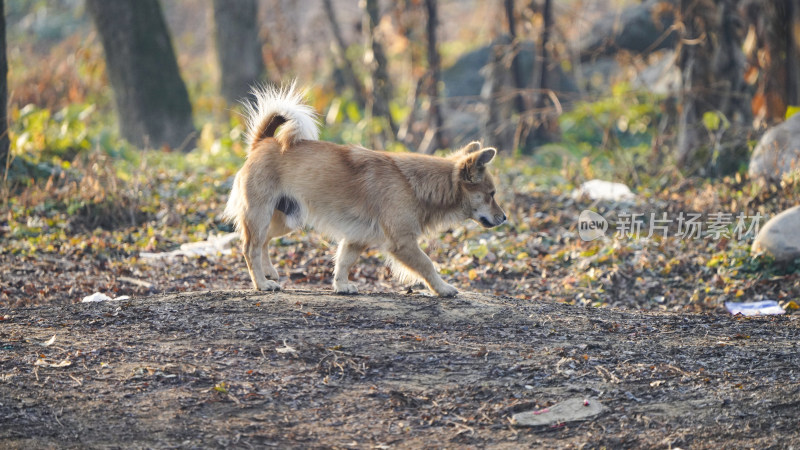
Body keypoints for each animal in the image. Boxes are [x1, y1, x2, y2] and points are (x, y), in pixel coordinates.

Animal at [222, 84, 504, 296]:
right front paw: (443, 288)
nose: (504, 218)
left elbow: (343, 262)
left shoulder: (356, 239)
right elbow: (427, 265)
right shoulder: (403, 242)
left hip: (286, 220)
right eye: (491, 194)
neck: (417, 183)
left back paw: (269, 272)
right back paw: (261, 283)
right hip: (260, 214)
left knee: (263, 242)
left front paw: (341, 286)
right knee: (250, 248)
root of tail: (263, 142)